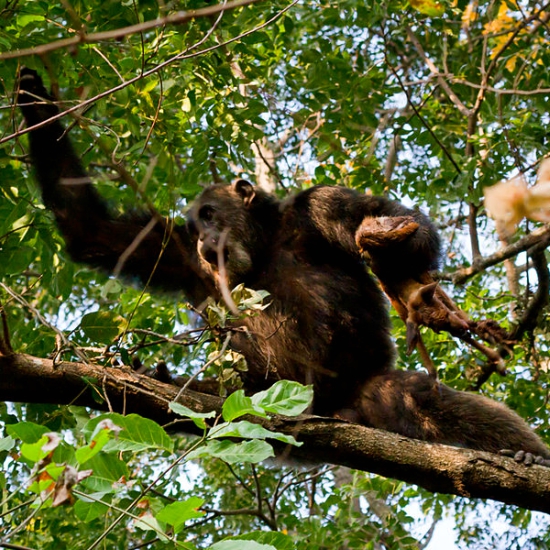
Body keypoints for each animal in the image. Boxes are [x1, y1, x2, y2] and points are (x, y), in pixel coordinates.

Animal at [17, 70, 550, 466]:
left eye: (209, 213)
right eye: (192, 225)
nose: (205, 239)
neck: (265, 240)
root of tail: (336, 410)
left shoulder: (323, 204)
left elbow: (397, 227)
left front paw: (381, 239)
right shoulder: (178, 255)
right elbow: (91, 229)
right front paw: (31, 95)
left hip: (366, 395)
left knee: (423, 399)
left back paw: (525, 457)